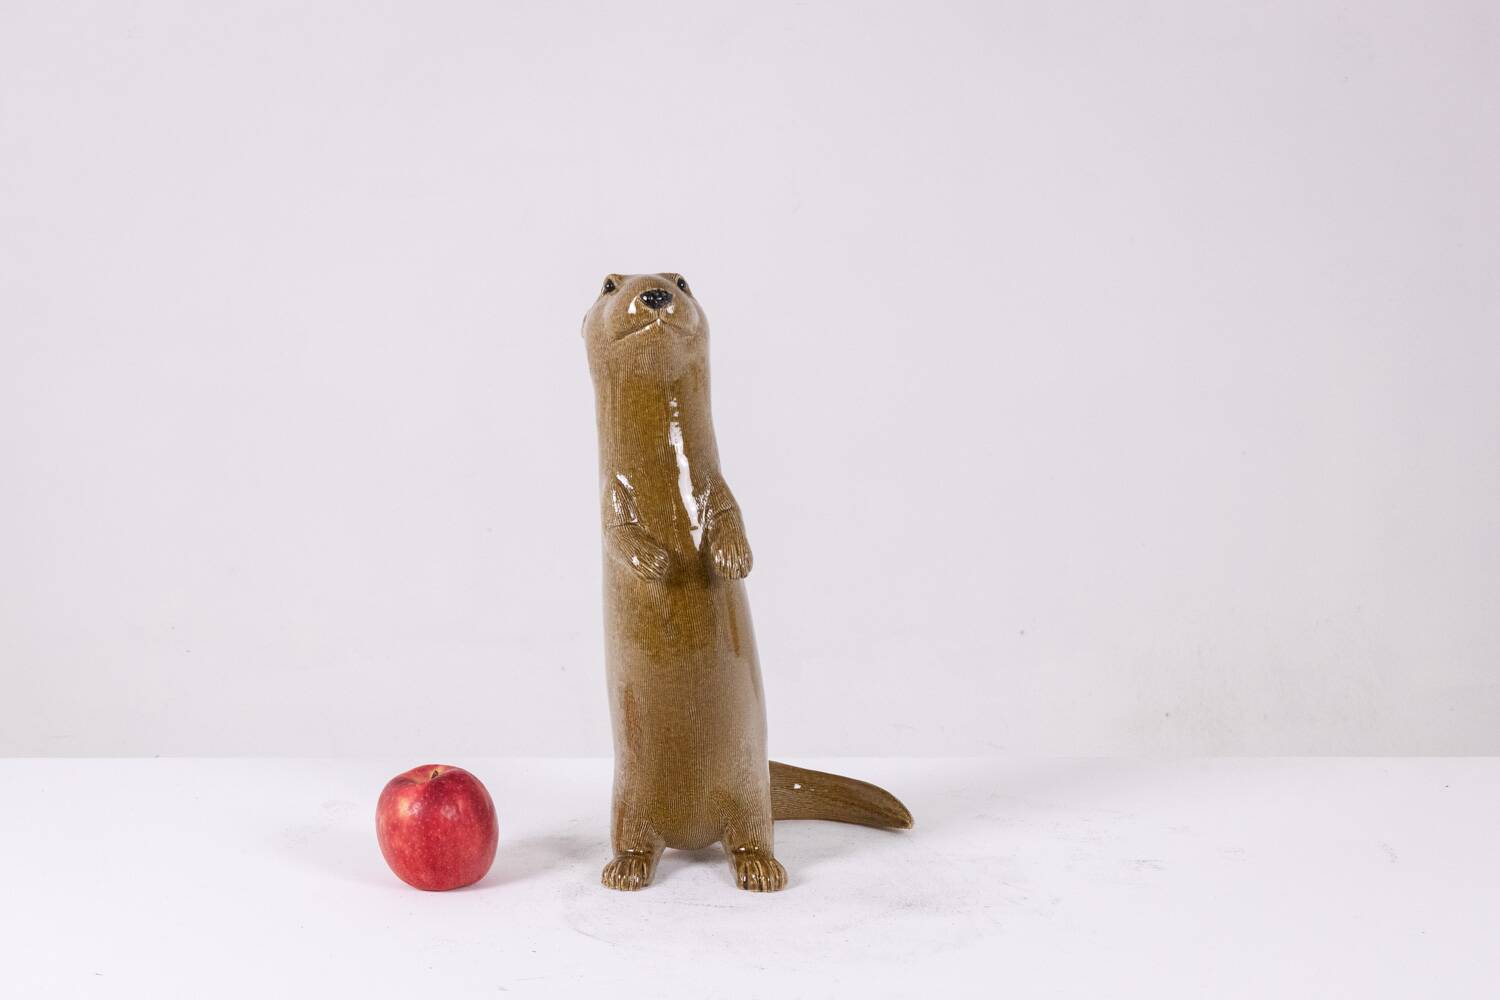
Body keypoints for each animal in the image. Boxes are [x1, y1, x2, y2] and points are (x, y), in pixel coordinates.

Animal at [582, 272, 912, 892]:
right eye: (609, 284)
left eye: (681, 279)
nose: (654, 293)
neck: (667, 482)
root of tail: (690, 830)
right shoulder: (610, 500)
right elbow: (618, 537)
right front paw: (655, 563)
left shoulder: (716, 487)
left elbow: (732, 514)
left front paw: (733, 558)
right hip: (627, 795)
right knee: (636, 838)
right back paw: (626, 869)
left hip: (748, 790)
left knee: (750, 834)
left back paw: (761, 868)